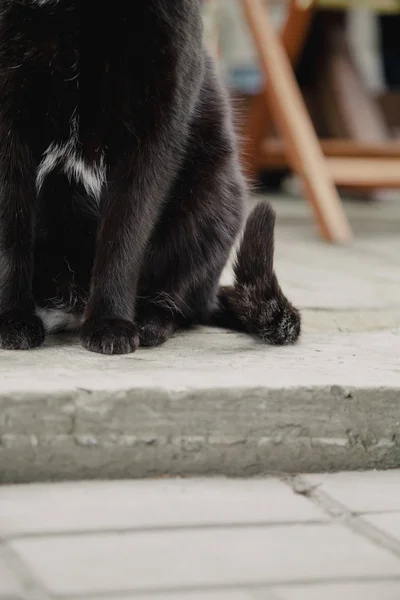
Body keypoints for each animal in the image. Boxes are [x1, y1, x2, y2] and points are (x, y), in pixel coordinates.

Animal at [0, 0, 302, 354]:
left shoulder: (156, 131)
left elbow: (124, 236)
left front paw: (110, 322)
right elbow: (10, 233)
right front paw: (10, 318)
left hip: (217, 191)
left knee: (177, 301)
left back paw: (147, 323)